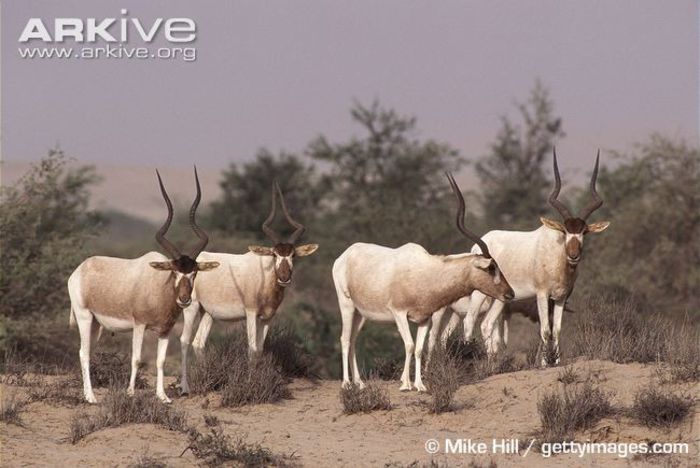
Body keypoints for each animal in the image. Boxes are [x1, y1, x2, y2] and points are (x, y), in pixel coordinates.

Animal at [66, 169, 219, 402]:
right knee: (83, 353)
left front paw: (163, 397)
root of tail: (80, 269)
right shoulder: (138, 325)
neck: (158, 286)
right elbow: (137, 358)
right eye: (174, 271)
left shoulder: (165, 331)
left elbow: (160, 361)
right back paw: (91, 397)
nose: (184, 299)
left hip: (96, 325)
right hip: (84, 317)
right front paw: (130, 393)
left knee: (88, 351)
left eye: (194, 272)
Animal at [178, 181, 318, 394]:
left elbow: (260, 349)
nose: (284, 278)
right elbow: (251, 348)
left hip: (208, 313)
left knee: (198, 343)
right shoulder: (251, 313)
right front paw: (251, 384)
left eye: (293, 255)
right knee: (185, 340)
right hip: (192, 307)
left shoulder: (267, 317)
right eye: (274, 254)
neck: (265, 275)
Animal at [334, 172, 516, 392]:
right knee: (345, 339)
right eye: (491, 267)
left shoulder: (424, 319)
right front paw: (405, 384)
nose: (510, 293)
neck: (428, 274)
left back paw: (359, 382)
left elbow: (419, 348)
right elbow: (410, 345)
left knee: (353, 339)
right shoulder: (399, 314)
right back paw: (346, 383)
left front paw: (420, 385)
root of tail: (345, 255)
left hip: (360, 313)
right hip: (347, 305)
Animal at [430, 150, 608, 366]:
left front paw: (556, 363)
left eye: (584, 232)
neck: (557, 254)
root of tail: (480, 243)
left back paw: (492, 364)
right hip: (479, 296)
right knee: (469, 321)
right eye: (565, 231)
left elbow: (556, 331)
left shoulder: (560, 298)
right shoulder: (542, 295)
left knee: (486, 325)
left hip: (500, 299)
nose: (573, 256)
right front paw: (544, 364)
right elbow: (545, 330)